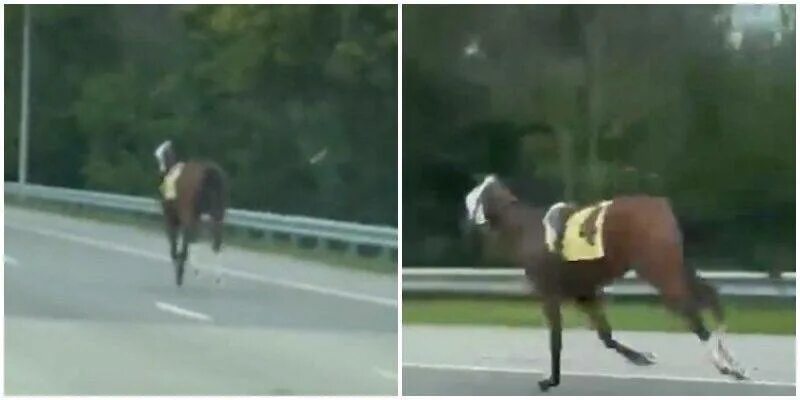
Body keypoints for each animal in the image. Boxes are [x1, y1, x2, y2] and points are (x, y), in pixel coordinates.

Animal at [154, 141, 227, 288]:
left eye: (159, 155)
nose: (161, 170)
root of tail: (210, 172)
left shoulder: (171, 218)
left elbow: (175, 246)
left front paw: (179, 269)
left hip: (189, 214)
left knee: (192, 239)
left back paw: (194, 270)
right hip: (217, 214)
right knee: (216, 242)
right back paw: (217, 277)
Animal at [462, 174, 752, 390]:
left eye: (472, 198)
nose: (466, 220)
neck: (524, 228)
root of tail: (658, 205)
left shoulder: (549, 294)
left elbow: (556, 340)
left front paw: (551, 380)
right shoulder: (584, 293)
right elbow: (606, 336)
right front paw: (641, 357)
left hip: (659, 270)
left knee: (694, 316)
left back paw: (723, 364)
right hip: (676, 265)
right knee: (711, 296)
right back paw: (733, 363)